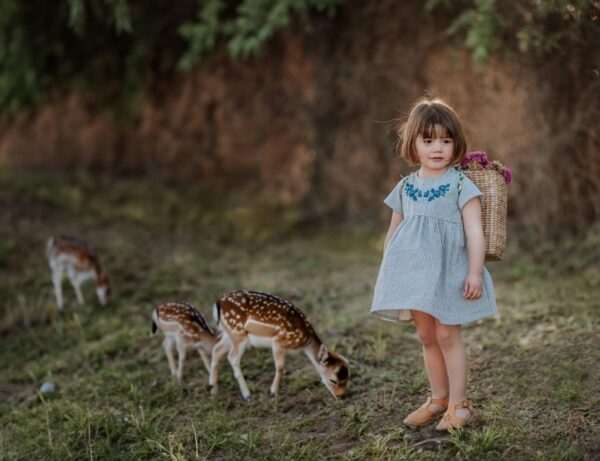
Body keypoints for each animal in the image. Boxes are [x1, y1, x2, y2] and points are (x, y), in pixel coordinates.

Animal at [211, 292, 352, 398]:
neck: (303, 341)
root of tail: (218, 303)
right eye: (333, 380)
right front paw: (273, 393)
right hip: (238, 334)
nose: (341, 396)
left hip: (228, 334)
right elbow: (280, 367)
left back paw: (213, 390)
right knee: (232, 358)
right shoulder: (278, 341)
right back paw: (247, 395)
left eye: (347, 378)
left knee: (216, 349)